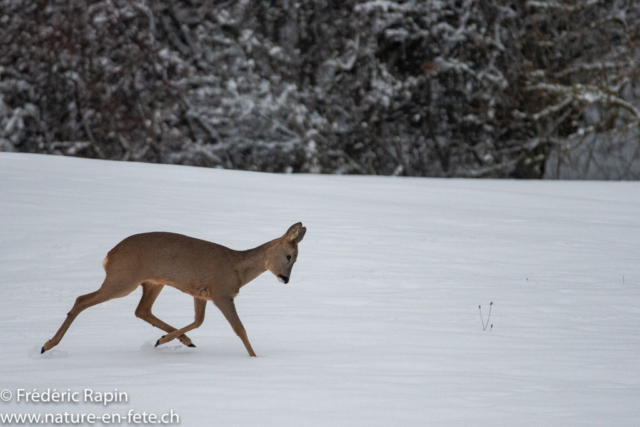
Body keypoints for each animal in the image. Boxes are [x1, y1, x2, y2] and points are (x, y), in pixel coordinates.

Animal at [42, 224, 308, 358]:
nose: (285, 279)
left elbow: (199, 321)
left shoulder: (201, 293)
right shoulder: (221, 292)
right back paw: (47, 345)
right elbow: (239, 329)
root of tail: (109, 255)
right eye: (289, 256)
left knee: (142, 310)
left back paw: (179, 341)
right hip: (123, 279)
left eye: (296, 259)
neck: (237, 269)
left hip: (152, 282)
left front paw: (167, 340)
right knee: (82, 299)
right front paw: (255, 359)